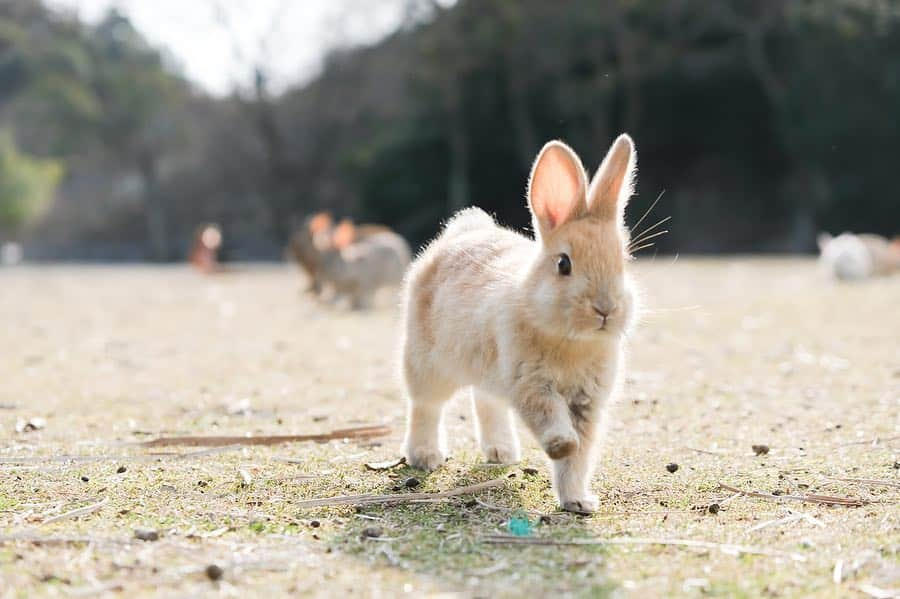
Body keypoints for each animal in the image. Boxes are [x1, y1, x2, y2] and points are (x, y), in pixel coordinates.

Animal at [400, 137, 640, 516]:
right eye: (563, 264)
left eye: (624, 261)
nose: (605, 309)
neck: (571, 340)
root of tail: (464, 232)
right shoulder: (531, 384)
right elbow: (550, 420)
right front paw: (561, 444)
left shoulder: (586, 404)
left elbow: (579, 460)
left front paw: (579, 501)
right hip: (426, 363)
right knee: (426, 406)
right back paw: (426, 457)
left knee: (486, 402)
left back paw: (502, 453)